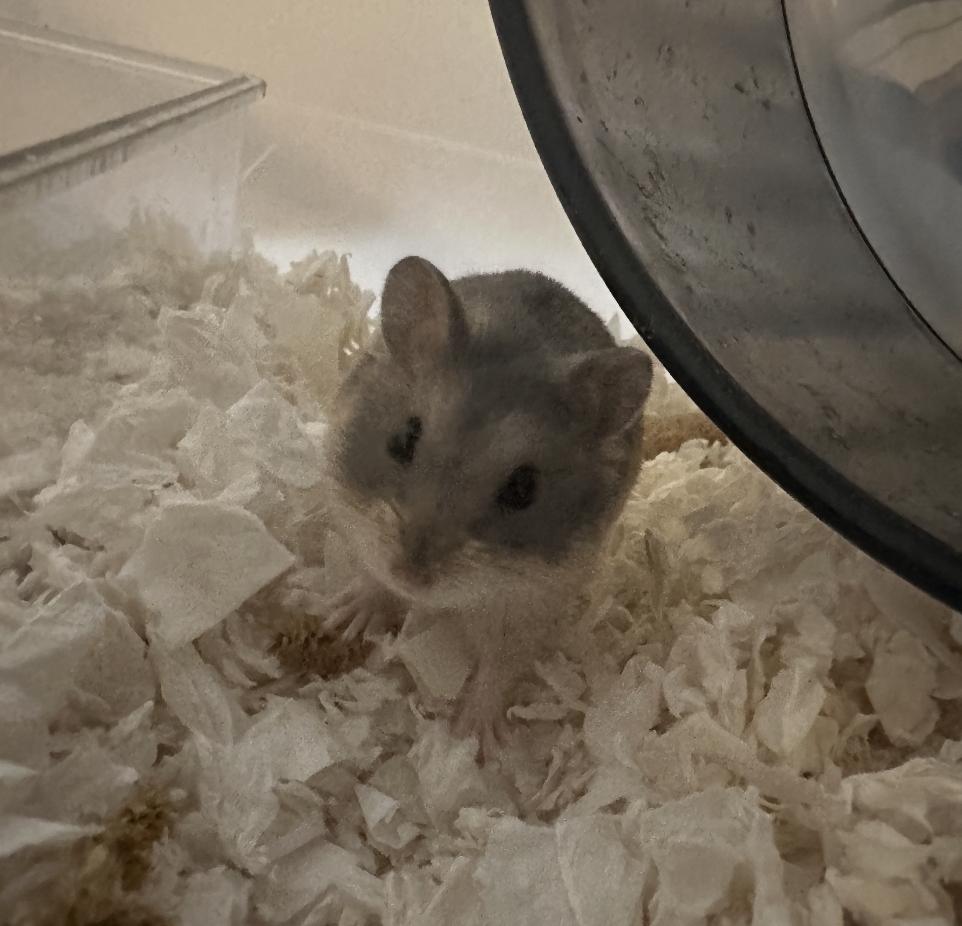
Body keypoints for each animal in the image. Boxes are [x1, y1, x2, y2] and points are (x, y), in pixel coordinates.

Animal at [321, 256, 653, 759]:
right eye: (403, 439)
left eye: (523, 488)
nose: (411, 575)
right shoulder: (359, 527)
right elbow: (372, 581)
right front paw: (345, 621)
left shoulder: (528, 609)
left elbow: (497, 672)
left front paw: (472, 741)